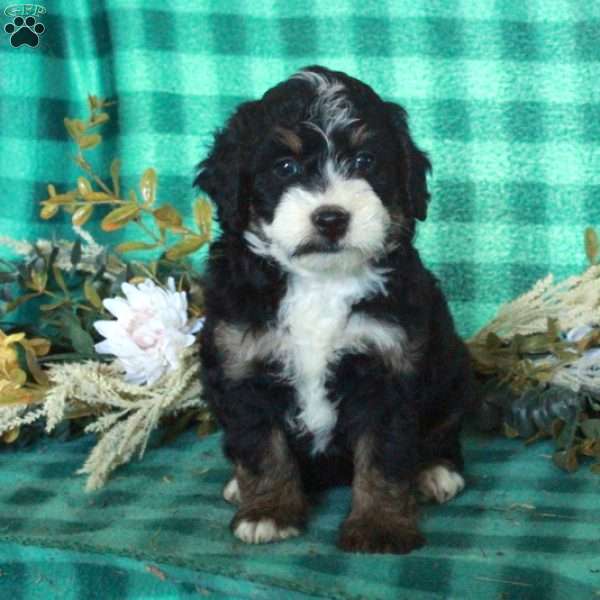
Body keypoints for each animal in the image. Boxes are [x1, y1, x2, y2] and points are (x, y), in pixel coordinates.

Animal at [197, 64, 474, 552]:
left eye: (364, 162)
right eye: (285, 167)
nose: (331, 218)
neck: (320, 282)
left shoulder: (389, 364)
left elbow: (384, 456)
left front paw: (380, 525)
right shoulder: (240, 362)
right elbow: (261, 446)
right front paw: (268, 512)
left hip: (451, 371)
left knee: (443, 428)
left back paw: (436, 471)